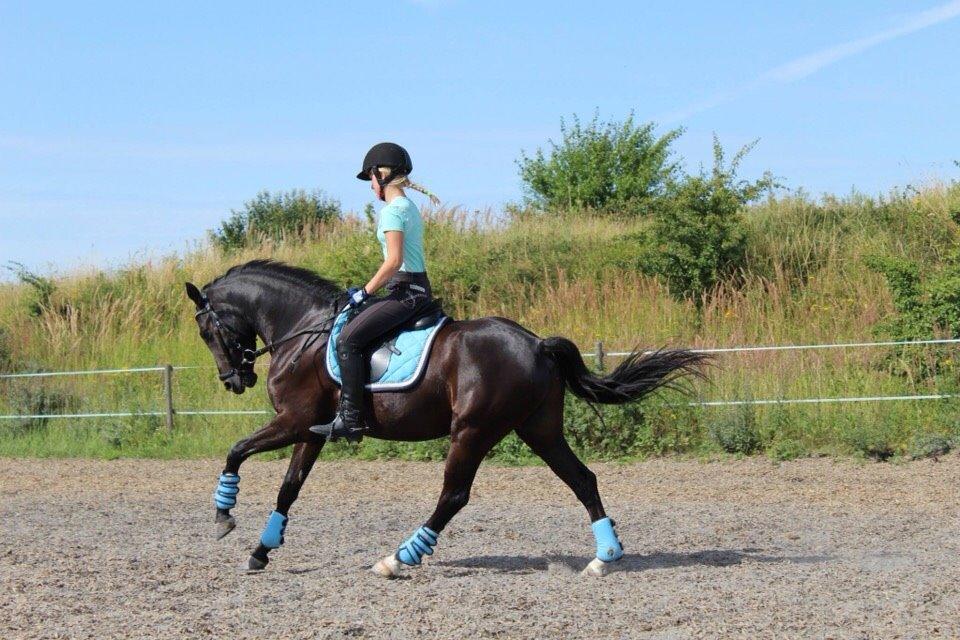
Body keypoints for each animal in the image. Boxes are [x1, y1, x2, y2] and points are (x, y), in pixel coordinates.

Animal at [185, 260, 709, 577]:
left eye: (207, 331)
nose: (234, 380)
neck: (303, 331)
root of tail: (537, 343)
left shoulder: (294, 421)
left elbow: (236, 451)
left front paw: (223, 515)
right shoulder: (310, 431)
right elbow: (289, 489)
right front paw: (260, 550)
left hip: (472, 431)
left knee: (454, 495)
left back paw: (398, 559)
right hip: (539, 429)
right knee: (582, 479)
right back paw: (604, 558)